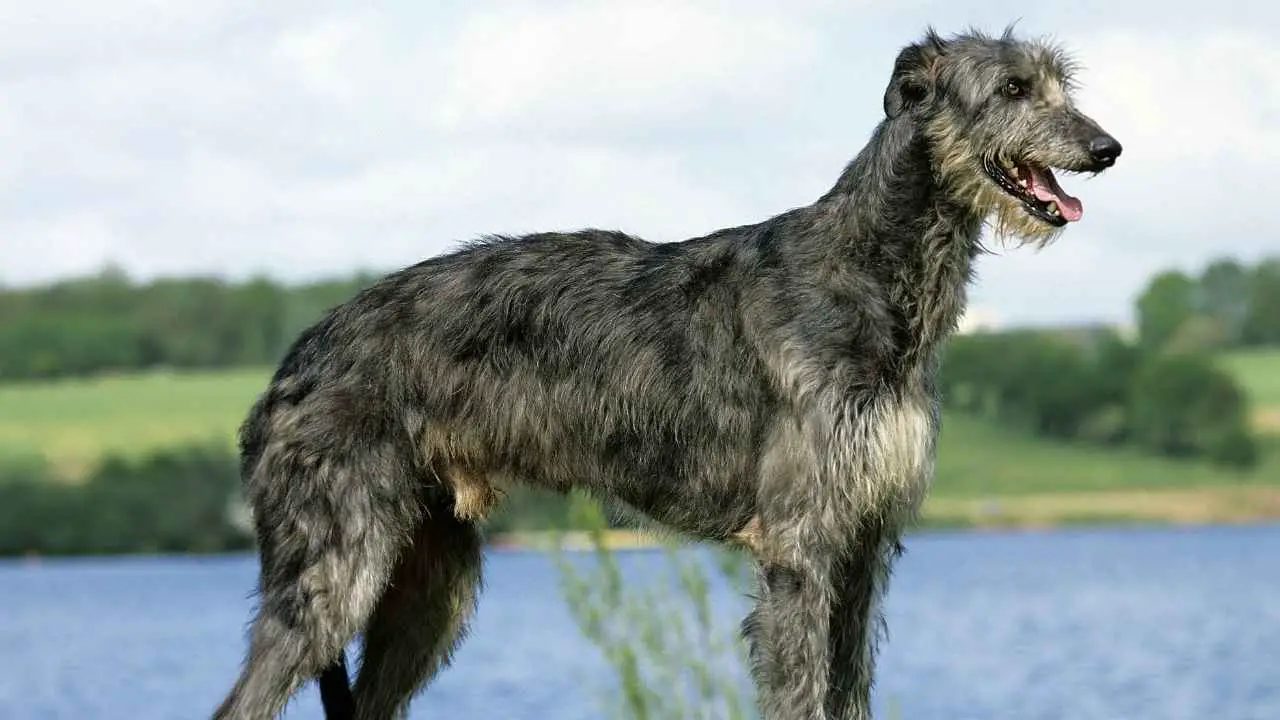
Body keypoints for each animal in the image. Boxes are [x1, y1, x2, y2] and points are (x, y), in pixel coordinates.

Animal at [217, 25, 1121, 712]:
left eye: (1060, 84)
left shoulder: (863, 543)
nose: (1107, 148)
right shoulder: (799, 545)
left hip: (427, 582)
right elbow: (802, 692)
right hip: (334, 566)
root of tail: (292, 363)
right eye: (1012, 88)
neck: (870, 271)